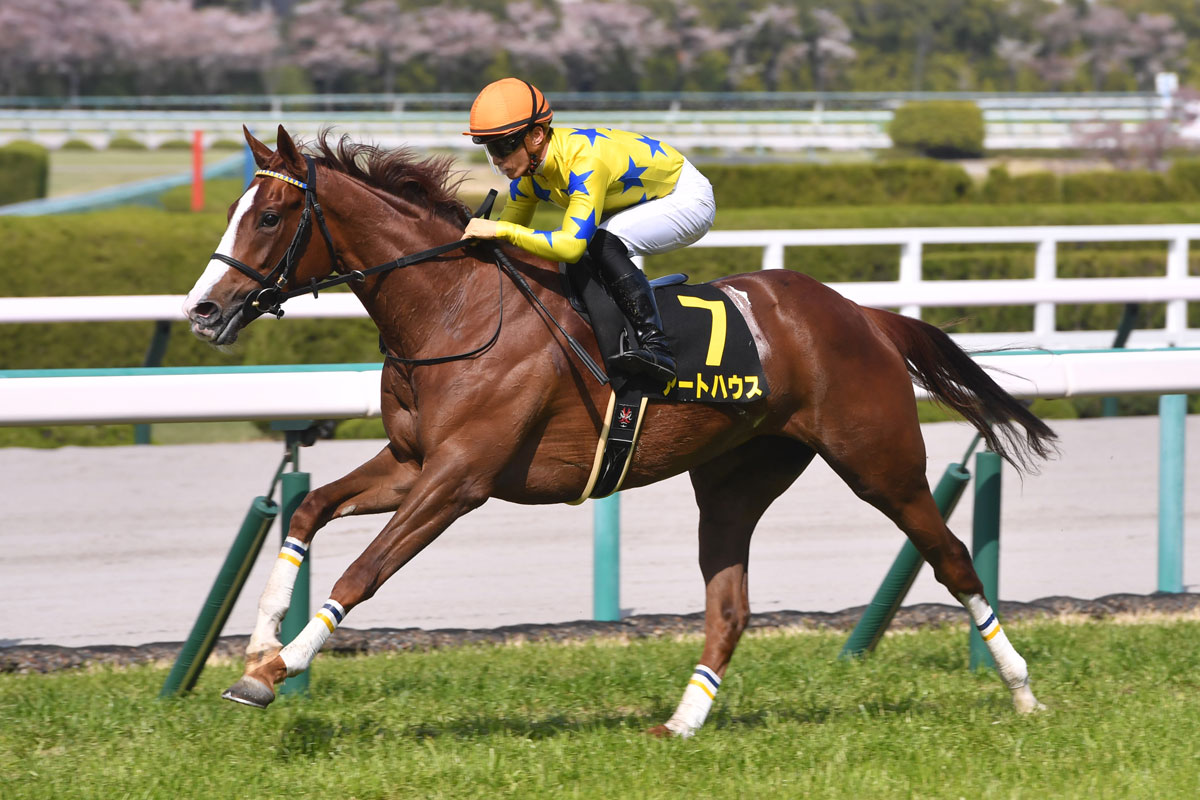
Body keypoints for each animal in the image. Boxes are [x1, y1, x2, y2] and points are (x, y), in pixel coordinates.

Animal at [183, 125, 1056, 737]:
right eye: (232, 211)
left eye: (269, 216)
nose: (201, 310)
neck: (452, 308)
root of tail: (864, 314)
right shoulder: (411, 460)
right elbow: (306, 510)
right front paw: (260, 644)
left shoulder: (459, 477)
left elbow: (365, 571)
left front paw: (273, 670)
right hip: (736, 480)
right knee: (729, 605)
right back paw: (683, 722)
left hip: (880, 462)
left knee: (951, 558)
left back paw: (1022, 690)